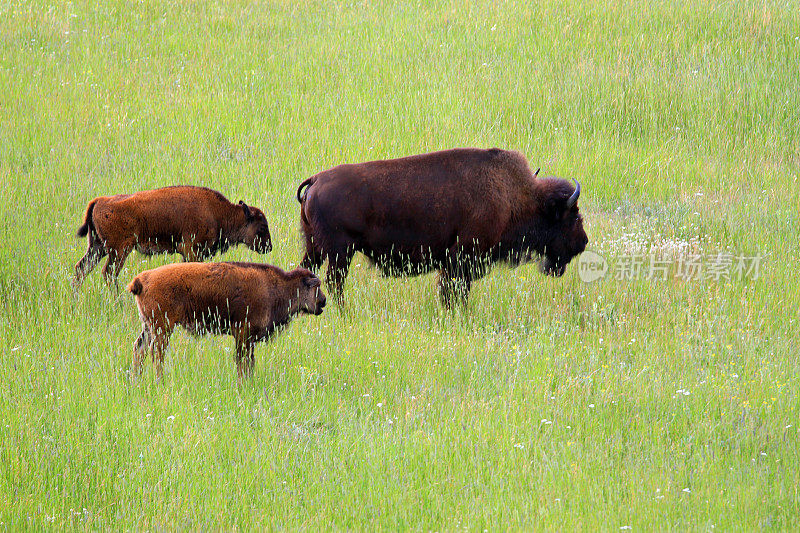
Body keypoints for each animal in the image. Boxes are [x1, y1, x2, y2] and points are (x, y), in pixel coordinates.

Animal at [75, 185, 276, 288]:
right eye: (262, 226)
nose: (269, 247)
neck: (218, 212)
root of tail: (100, 201)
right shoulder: (192, 250)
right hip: (119, 250)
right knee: (108, 273)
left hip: (98, 247)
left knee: (81, 269)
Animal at [126, 260, 324, 378]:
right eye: (316, 287)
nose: (323, 301)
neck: (277, 286)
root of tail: (141, 279)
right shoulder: (243, 334)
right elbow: (243, 361)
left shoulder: (248, 338)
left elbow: (249, 361)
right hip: (163, 328)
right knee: (156, 353)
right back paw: (159, 381)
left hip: (148, 327)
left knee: (140, 349)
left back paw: (137, 381)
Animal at [296, 148, 592, 308]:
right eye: (573, 216)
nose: (583, 242)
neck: (515, 197)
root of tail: (317, 179)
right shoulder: (461, 259)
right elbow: (454, 291)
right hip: (340, 252)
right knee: (335, 283)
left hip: (315, 248)